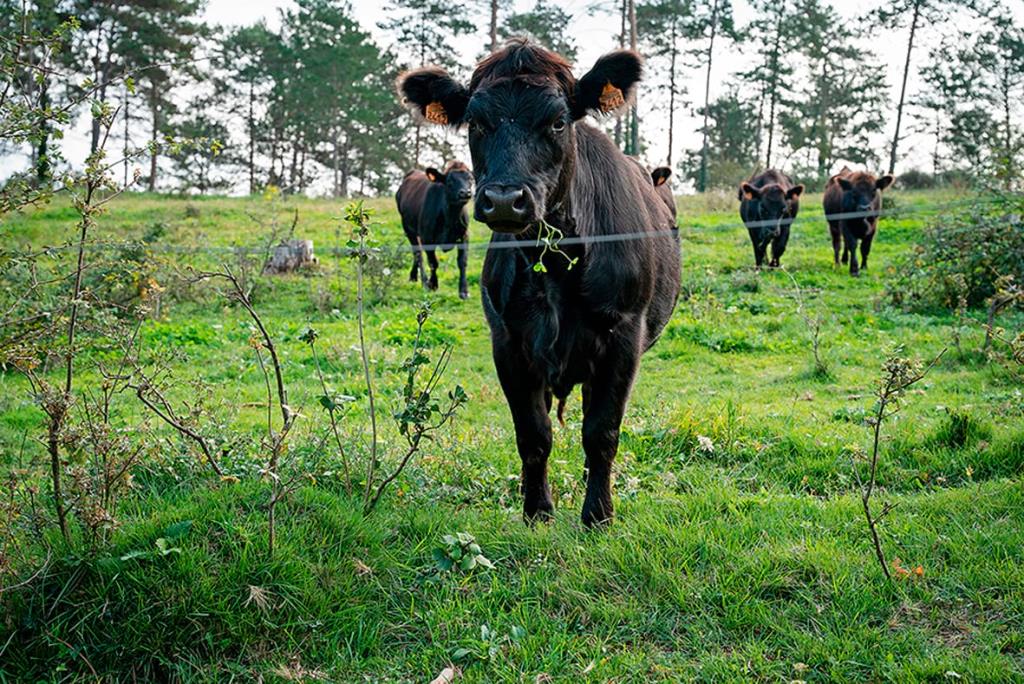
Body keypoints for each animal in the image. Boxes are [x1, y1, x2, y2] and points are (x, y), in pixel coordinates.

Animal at [393, 162, 473, 298]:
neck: (450, 218)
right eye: (449, 181)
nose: (465, 193)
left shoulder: (464, 236)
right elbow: (433, 262)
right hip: (408, 229)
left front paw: (464, 291)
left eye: (471, 179)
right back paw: (423, 280)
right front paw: (433, 284)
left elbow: (462, 262)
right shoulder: (427, 238)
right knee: (418, 253)